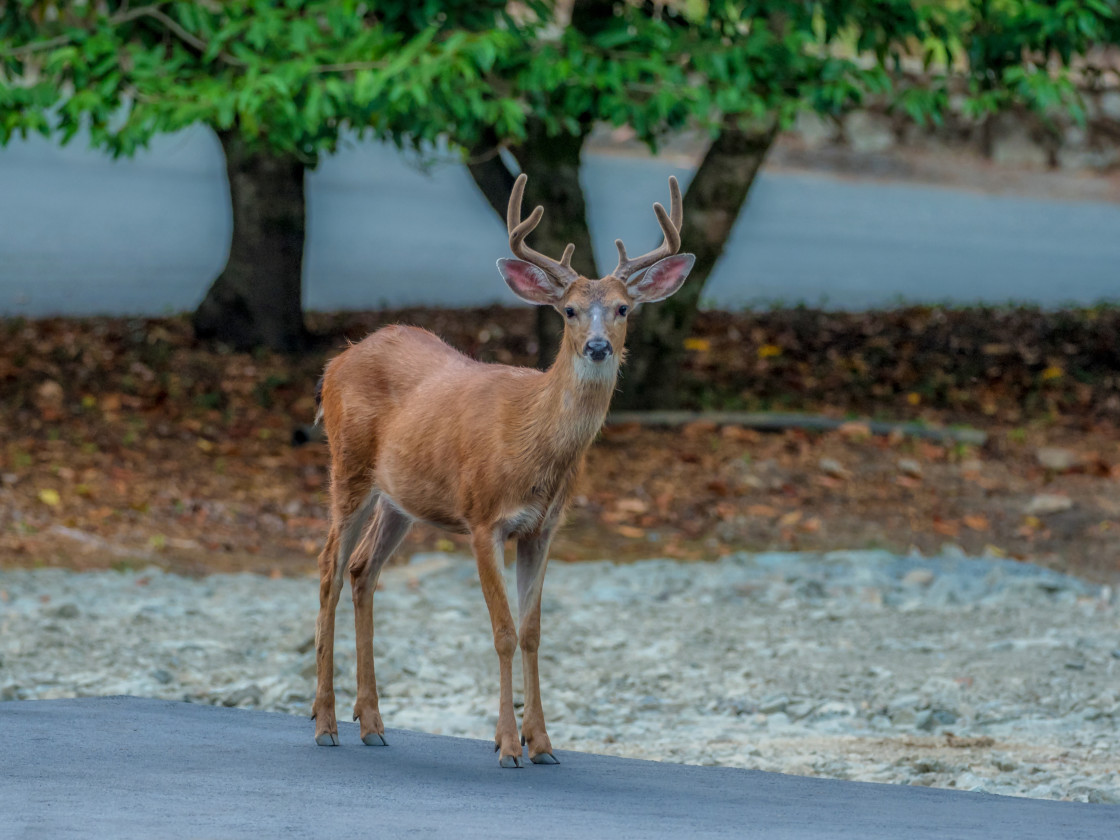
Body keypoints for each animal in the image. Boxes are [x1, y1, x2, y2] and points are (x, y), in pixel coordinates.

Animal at [313, 172, 689, 770]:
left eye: (624, 308)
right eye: (569, 311)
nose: (598, 347)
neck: (533, 442)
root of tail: (336, 361)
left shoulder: (543, 528)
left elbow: (533, 631)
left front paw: (543, 743)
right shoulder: (483, 518)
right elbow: (503, 631)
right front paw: (509, 745)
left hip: (400, 499)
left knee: (361, 569)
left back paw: (371, 723)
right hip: (347, 466)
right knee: (328, 566)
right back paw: (325, 722)